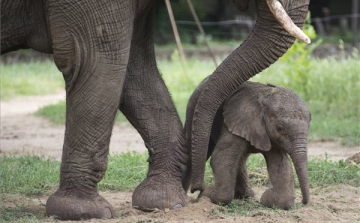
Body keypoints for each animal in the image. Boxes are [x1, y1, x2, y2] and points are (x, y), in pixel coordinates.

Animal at [197, 81, 310, 209]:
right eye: (280, 129)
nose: (303, 202)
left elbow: (279, 164)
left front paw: (266, 199)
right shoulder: (238, 121)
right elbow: (221, 158)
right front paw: (204, 194)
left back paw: (248, 196)